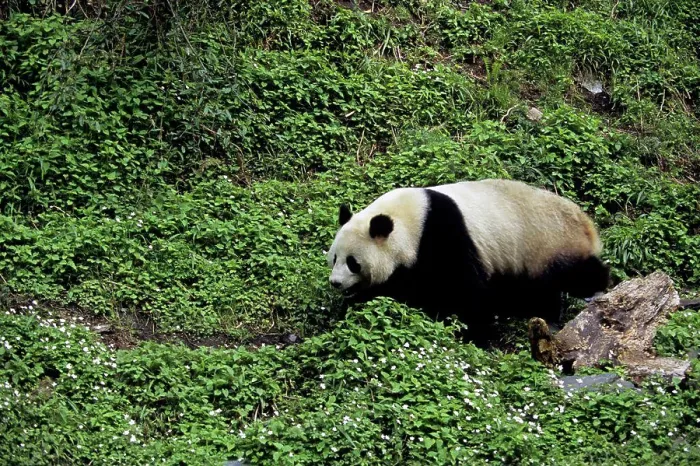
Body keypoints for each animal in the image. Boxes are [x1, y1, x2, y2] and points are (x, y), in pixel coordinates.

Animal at [327, 178, 610, 342]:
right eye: (334, 258)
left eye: (353, 262)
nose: (335, 283)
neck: (410, 220)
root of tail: (587, 225)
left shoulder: (443, 237)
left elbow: (464, 291)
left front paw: (474, 334)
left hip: (549, 244)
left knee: (575, 275)